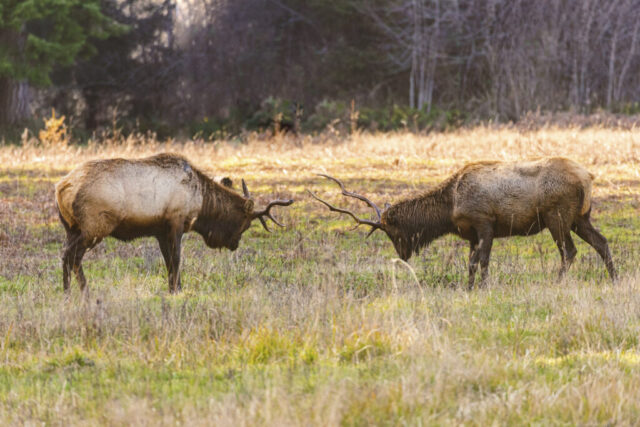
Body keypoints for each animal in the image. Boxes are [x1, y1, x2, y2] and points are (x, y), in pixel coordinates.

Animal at [55, 153, 293, 293]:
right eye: (244, 224)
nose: (234, 244)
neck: (201, 202)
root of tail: (61, 187)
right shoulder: (176, 222)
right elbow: (177, 259)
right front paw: (178, 289)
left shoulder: (160, 230)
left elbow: (168, 261)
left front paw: (172, 288)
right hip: (94, 227)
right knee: (72, 256)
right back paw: (82, 291)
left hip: (71, 228)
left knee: (66, 256)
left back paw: (68, 291)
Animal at [309, 157, 617, 288]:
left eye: (392, 230)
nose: (403, 255)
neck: (449, 208)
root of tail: (589, 178)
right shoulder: (471, 234)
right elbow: (470, 263)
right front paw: (468, 287)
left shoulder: (485, 222)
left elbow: (483, 261)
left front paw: (482, 287)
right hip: (580, 217)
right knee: (601, 242)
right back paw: (615, 278)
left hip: (558, 216)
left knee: (570, 251)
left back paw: (557, 282)